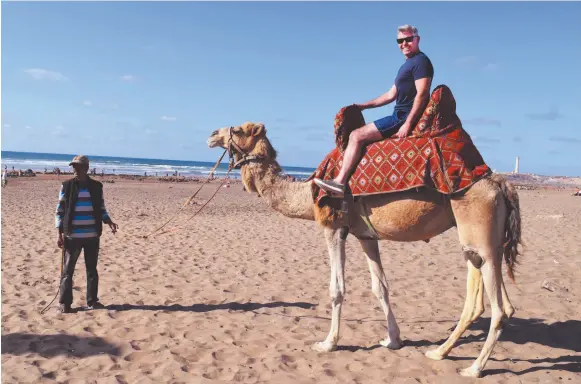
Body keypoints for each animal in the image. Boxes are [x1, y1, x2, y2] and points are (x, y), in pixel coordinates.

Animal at [207, 123, 520, 378]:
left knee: (500, 307)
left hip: (481, 235)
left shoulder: (334, 227)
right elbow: (380, 286)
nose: (211, 135)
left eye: (238, 129)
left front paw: (327, 343)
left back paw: (474, 368)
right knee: (484, 299)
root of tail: (501, 184)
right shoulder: (366, 235)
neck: (307, 192)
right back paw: (439, 351)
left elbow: (337, 288)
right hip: (479, 244)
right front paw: (393, 340)